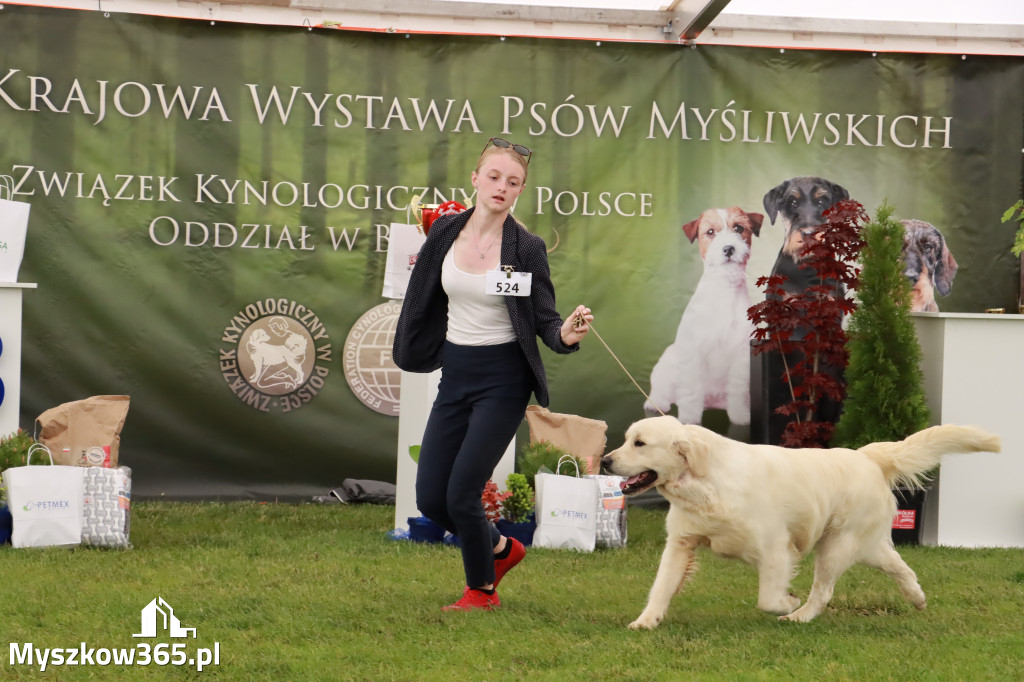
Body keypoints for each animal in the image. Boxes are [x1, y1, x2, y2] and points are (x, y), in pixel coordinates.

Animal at [598, 413, 999, 626]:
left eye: (640, 443)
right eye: (627, 439)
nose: (604, 460)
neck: (706, 482)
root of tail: (867, 456)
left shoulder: (776, 549)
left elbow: (767, 598)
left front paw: (787, 603)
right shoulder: (680, 544)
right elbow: (661, 587)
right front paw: (646, 621)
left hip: (837, 546)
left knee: (824, 591)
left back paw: (800, 616)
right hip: (864, 545)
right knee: (901, 567)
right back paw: (917, 598)